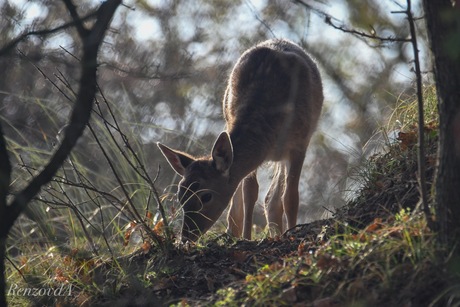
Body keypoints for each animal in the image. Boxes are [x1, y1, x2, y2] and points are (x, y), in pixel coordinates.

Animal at [158, 38, 324, 242]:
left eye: (206, 196)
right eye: (180, 195)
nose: (186, 236)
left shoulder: (299, 144)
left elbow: (291, 197)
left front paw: (293, 232)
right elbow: (249, 193)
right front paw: (246, 237)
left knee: (275, 198)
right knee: (265, 198)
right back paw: (236, 231)